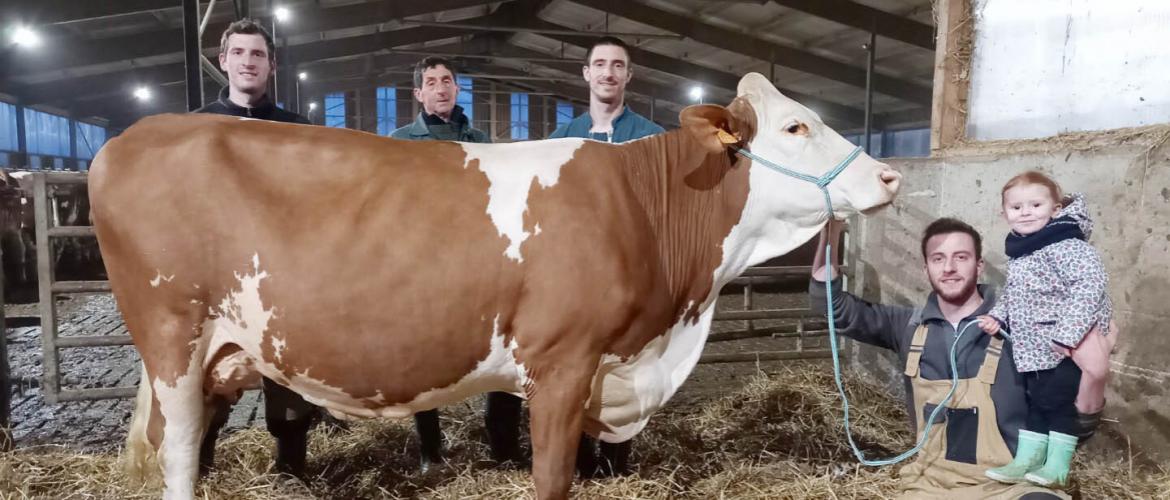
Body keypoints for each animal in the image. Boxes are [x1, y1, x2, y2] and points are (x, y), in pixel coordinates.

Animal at [91, 71, 898, 500]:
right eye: (795, 127)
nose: (890, 175)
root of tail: (131, 139)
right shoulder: (564, 362)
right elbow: (551, 477)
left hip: (216, 356)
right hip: (172, 338)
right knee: (180, 450)